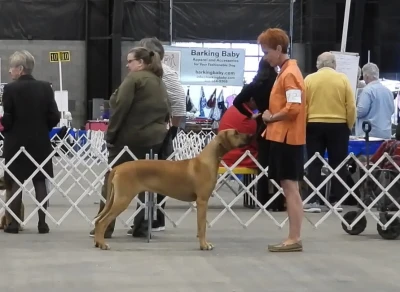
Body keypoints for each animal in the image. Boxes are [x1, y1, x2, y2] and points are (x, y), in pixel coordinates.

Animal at [94, 130, 253, 251]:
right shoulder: (202, 201)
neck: (207, 161)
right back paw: (103, 244)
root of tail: (117, 167)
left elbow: (200, 226)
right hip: (123, 199)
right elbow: (202, 226)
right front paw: (204, 245)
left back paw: (97, 242)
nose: (250, 135)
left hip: (115, 199)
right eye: (236, 133)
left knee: (99, 221)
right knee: (102, 222)